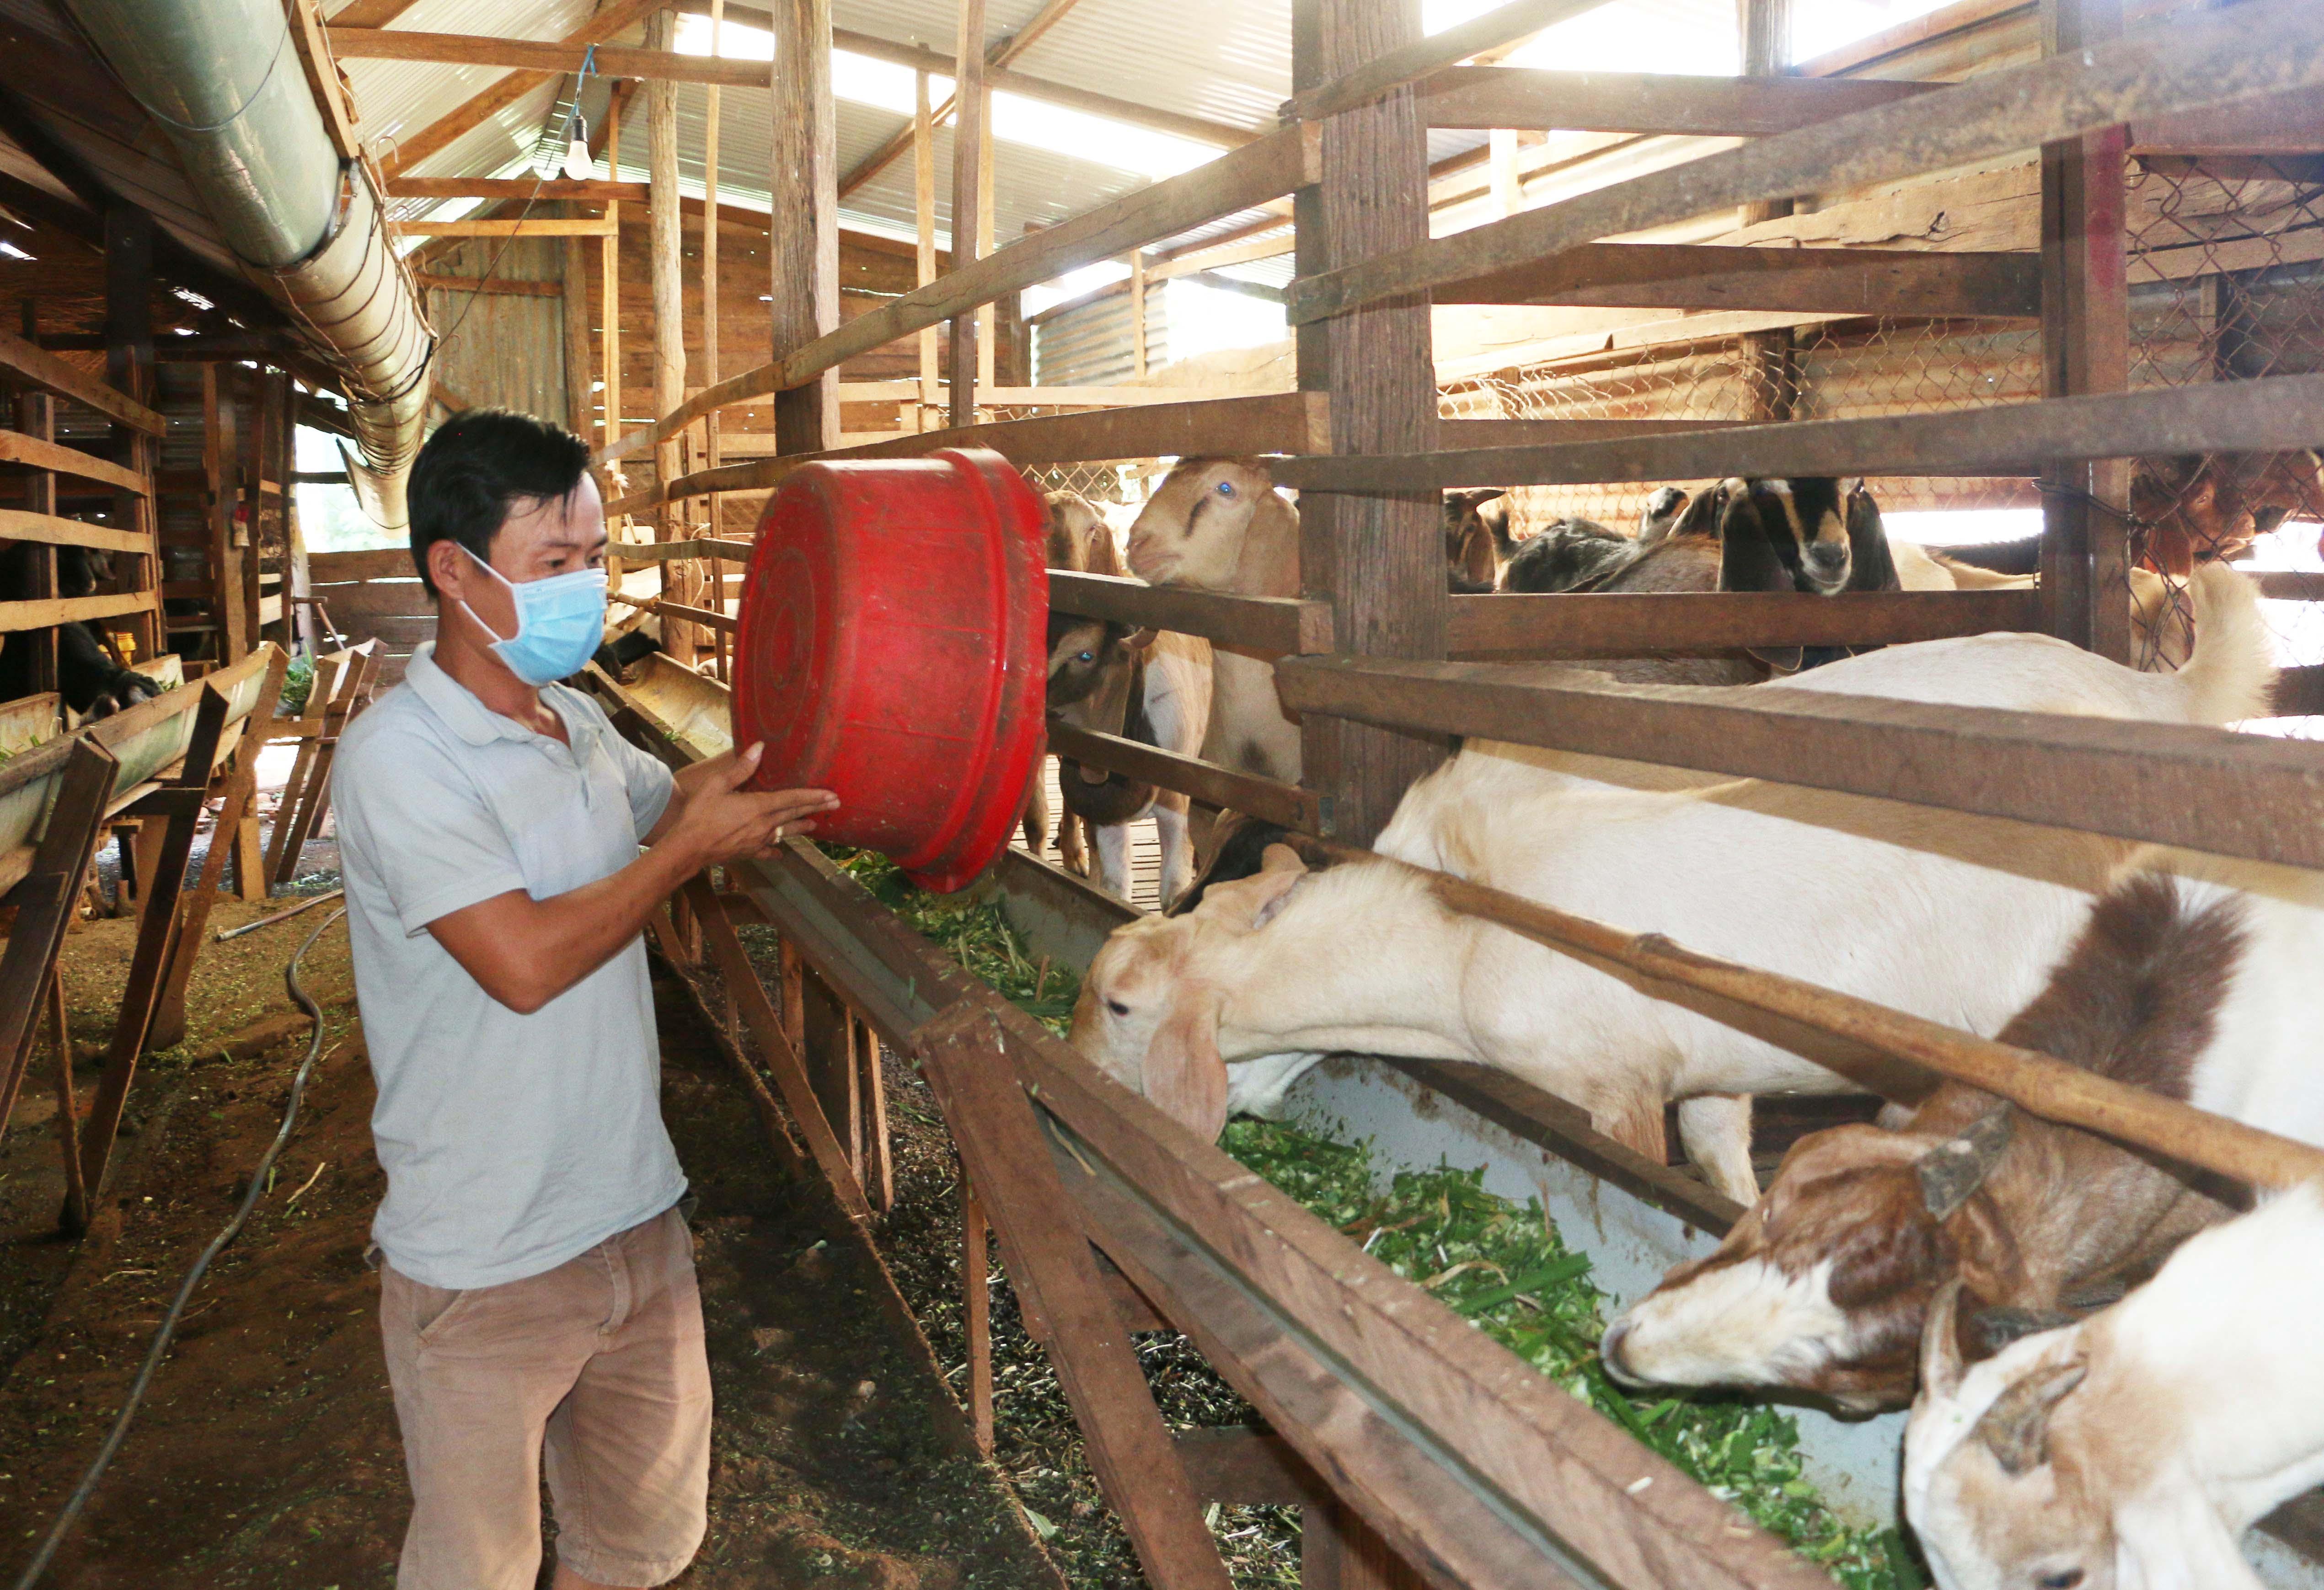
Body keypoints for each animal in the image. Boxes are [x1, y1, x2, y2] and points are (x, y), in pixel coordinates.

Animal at [1064, 565, 2268, 1199]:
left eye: (1119, 1003)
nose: (1076, 1075)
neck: (1457, 925)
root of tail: (2150, 700)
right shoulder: (1710, 1062)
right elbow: (1724, 1168)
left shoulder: (1610, 1078)